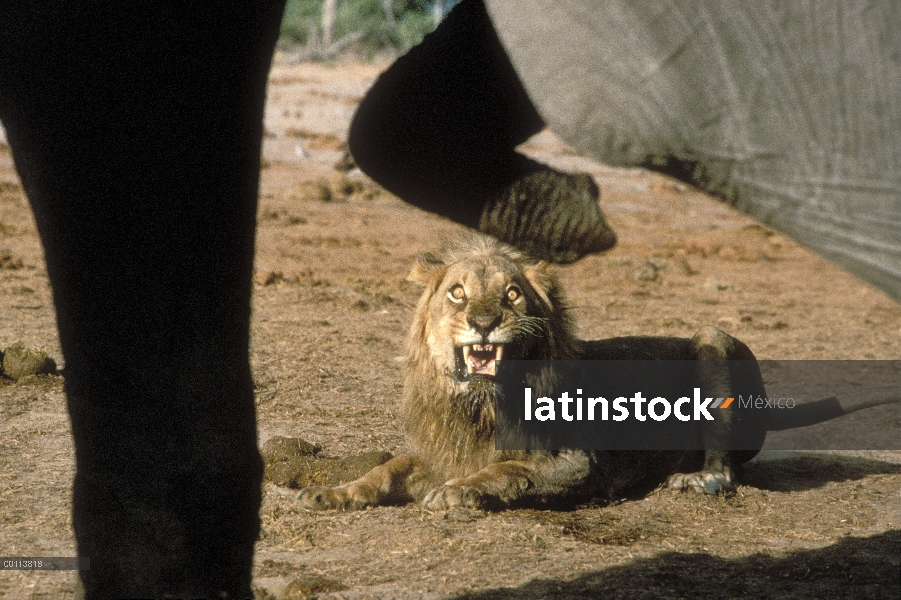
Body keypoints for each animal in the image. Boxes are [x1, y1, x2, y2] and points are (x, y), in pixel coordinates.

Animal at [300, 234, 900, 510]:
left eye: (511, 294)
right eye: (457, 293)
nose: (484, 321)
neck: (480, 407)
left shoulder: (578, 463)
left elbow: (504, 472)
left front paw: (457, 494)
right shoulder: (439, 451)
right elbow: (386, 471)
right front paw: (331, 493)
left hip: (713, 339)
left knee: (725, 468)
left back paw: (694, 478)